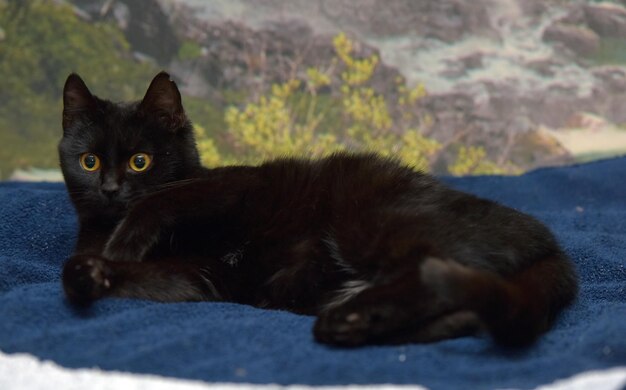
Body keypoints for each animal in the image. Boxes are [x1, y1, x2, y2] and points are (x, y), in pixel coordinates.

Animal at [58, 73, 576, 348]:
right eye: (89, 161)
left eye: (140, 161)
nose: (110, 189)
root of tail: (550, 244)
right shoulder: (198, 276)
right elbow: (128, 276)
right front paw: (92, 273)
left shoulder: (235, 184)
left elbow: (163, 198)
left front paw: (123, 244)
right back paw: (356, 322)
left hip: (370, 222)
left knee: (437, 275)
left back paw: (345, 321)